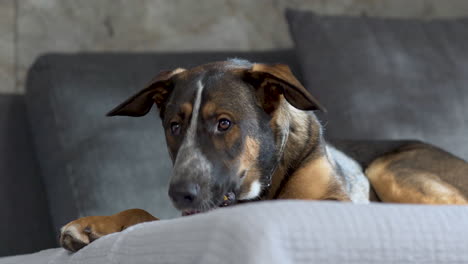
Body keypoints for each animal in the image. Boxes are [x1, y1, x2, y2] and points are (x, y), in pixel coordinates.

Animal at [59, 59, 468, 252]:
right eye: (174, 126)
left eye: (224, 123)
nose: (180, 194)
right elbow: (144, 215)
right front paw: (94, 225)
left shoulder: (335, 203)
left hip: (389, 167)